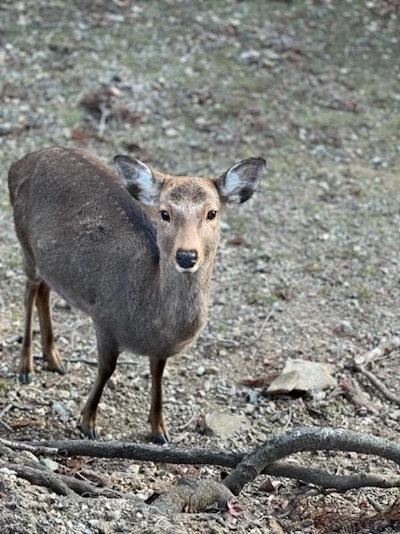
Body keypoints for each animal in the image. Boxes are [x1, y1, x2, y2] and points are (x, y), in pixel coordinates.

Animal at [7, 147, 266, 444]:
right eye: (164, 213)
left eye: (212, 213)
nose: (186, 256)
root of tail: (18, 164)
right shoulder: (104, 319)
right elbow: (106, 369)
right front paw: (88, 423)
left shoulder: (160, 350)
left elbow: (158, 376)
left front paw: (159, 430)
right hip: (24, 241)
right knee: (29, 290)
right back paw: (26, 368)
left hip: (49, 262)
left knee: (44, 290)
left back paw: (54, 358)